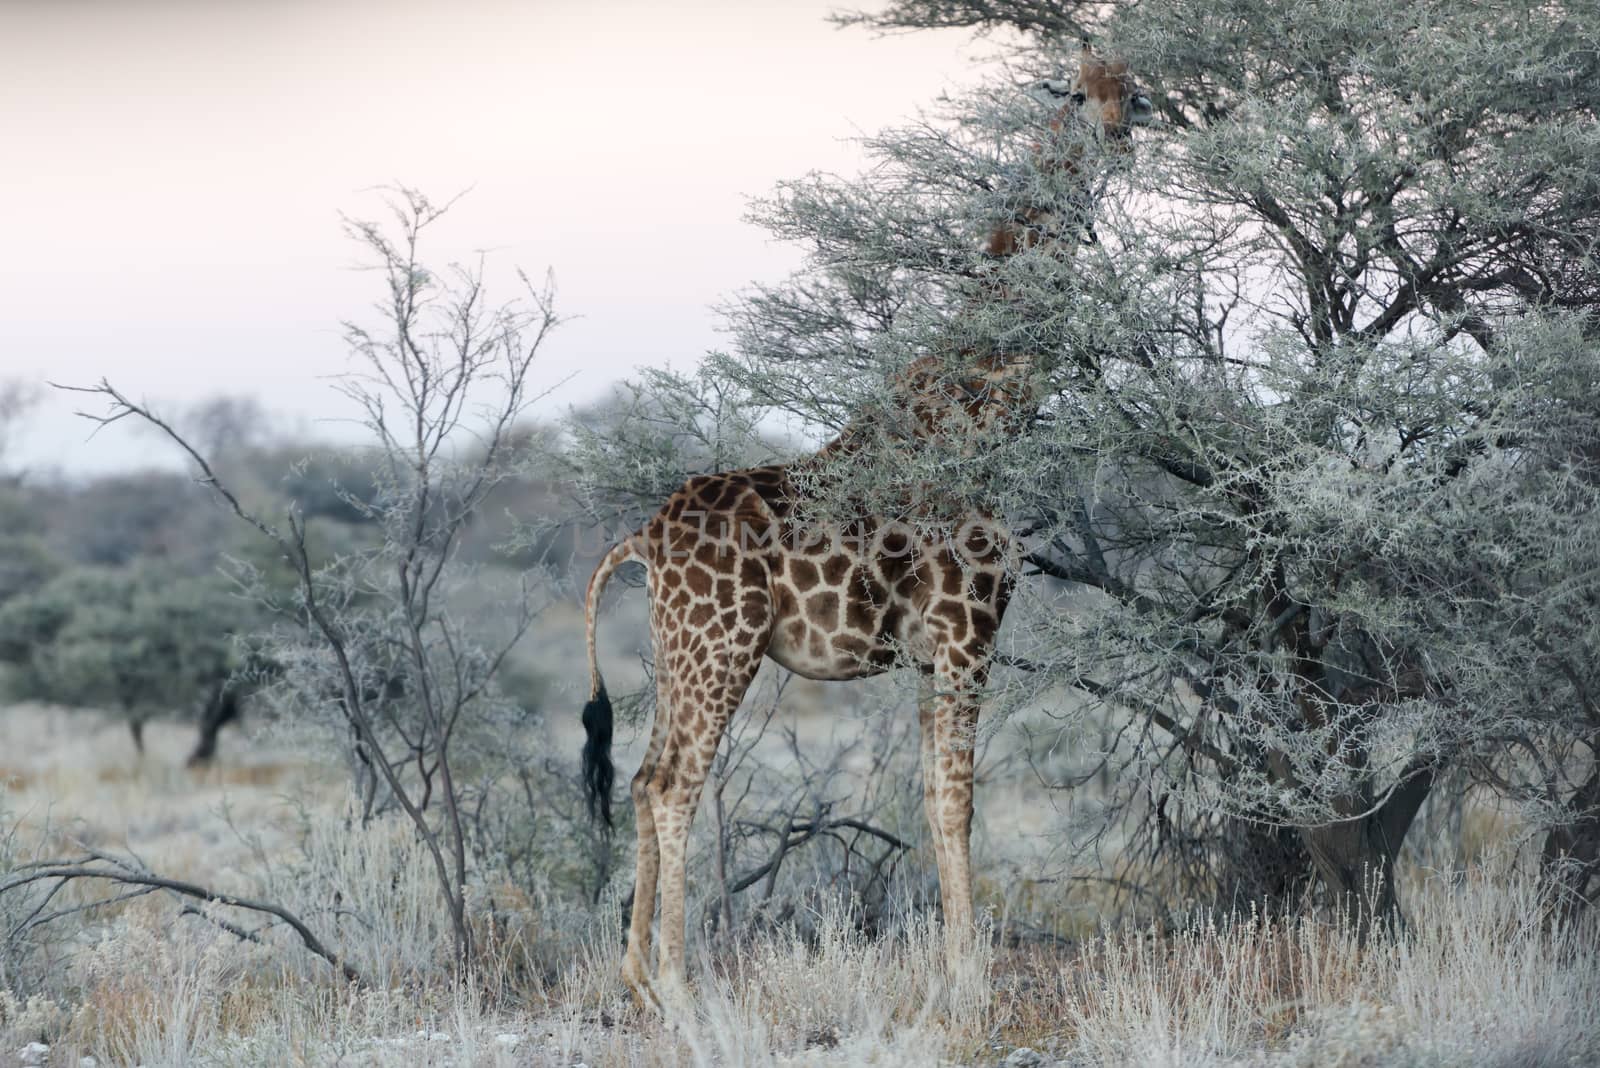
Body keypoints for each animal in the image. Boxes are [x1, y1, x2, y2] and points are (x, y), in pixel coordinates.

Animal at [576, 43, 1152, 1010]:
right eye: (1076, 94)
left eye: (1134, 96)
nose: (1116, 138)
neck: (988, 411)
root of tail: (643, 541)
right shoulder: (967, 633)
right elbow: (960, 801)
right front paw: (970, 979)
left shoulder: (929, 651)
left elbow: (931, 799)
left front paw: (952, 969)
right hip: (723, 644)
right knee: (674, 786)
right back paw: (682, 986)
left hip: (678, 649)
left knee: (648, 775)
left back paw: (639, 979)